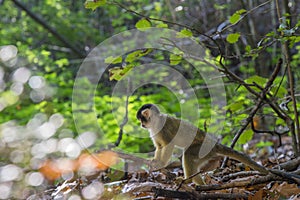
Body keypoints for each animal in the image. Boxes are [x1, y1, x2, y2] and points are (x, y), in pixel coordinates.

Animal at [137, 104, 268, 185]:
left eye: (142, 119)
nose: (141, 125)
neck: (155, 122)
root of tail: (214, 144)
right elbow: (160, 146)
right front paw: (155, 161)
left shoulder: (162, 128)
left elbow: (169, 144)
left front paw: (161, 163)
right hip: (206, 154)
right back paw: (199, 184)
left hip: (203, 148)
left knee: (188, 154)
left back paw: (187, 181)